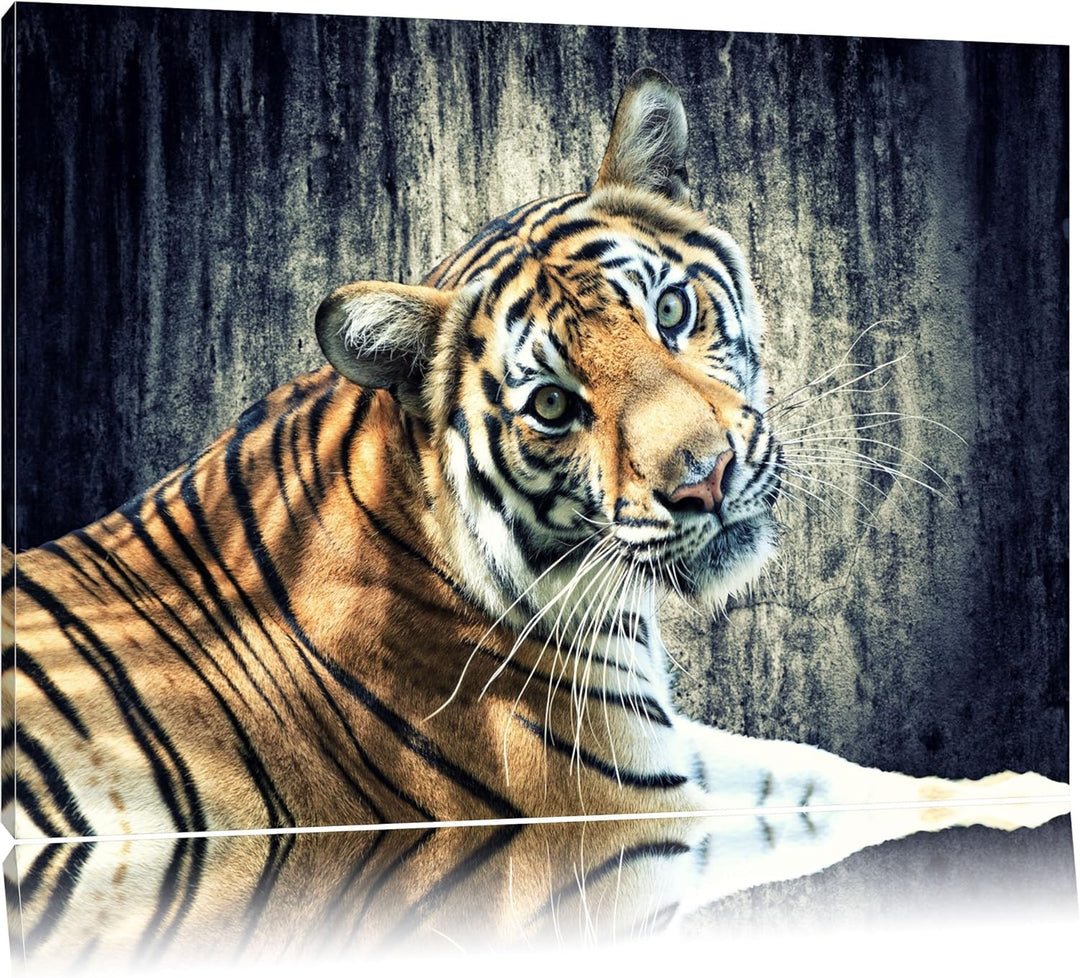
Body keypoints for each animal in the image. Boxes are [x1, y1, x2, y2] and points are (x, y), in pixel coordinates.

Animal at [1, 67, 1068, 965]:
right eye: (552, 405)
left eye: (672, 312)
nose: (706, 479)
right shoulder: (616, 791)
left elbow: (823, 773)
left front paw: (1017, 795)